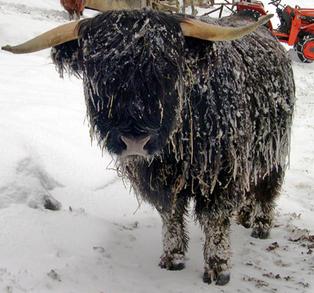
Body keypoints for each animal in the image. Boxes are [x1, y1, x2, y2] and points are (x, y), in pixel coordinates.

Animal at [2, 9, 294, 286]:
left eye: (166, 71)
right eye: (99, 71)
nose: (134, 141)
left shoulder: (221, 173)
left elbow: (215, 221)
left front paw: (218, 269)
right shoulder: (158, 181)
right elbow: (171, 214)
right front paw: (172, 258)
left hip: (273, 149)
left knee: (267, 186)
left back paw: (260, 225)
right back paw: (243, 216)